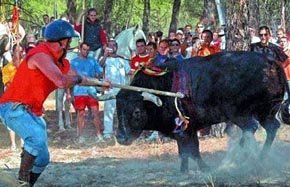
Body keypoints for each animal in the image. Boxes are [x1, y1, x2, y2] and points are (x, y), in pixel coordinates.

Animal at [115, 51, 290, 172]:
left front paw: (202, 168)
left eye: (136, 112)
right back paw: (258, 158)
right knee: (271, 127)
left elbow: (191, 151)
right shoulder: (187, 129)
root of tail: (272, 63)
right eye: (118, 110)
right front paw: (184, 171)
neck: (163, 88)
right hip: (265, 113)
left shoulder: (183, 130)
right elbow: (187, 151)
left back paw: (235, 160)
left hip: (239, 114)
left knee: (251, 128)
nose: (121, 137)